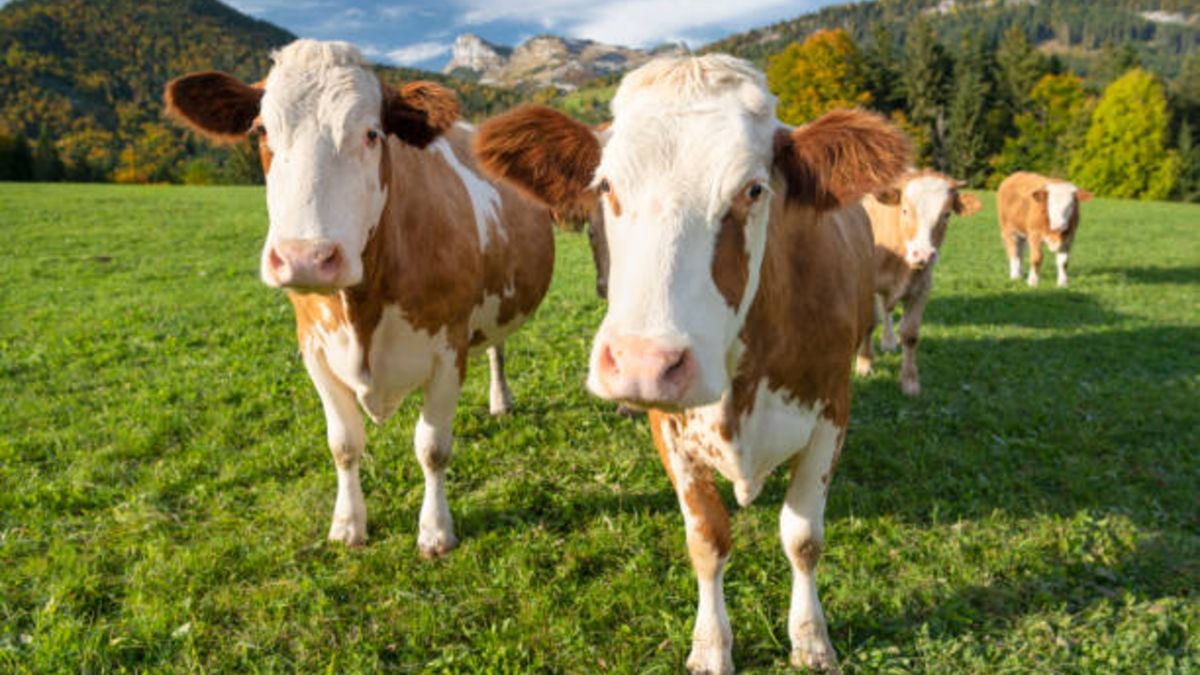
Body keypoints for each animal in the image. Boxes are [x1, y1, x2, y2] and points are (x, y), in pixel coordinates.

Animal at [163, 40, 554, 556]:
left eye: (372, 133)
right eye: (262, 130)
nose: (305, 258)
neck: (364, 309)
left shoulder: (448, 347)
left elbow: (432, 447)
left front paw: (436, 530)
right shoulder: (313, 348)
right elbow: (344, 443)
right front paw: (348, 524)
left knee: (497, 348)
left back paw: (500, 400)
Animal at [476, 55, 908, 673]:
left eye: (754, 189)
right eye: (606, 185)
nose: (642, 362)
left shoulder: (832, 407)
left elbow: (803, 536)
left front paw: (810, 638)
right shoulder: (670, 425)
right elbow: (707, 541)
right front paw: (710, 645)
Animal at [856, 170, 981, 396]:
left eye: (947, 214)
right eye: (905, 210)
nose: (923, 254)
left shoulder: (922, 288)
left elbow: (910, 334)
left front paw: (910, 381)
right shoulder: (867, 282)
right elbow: (869, 322)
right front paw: (864, 363)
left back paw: (888, 341)